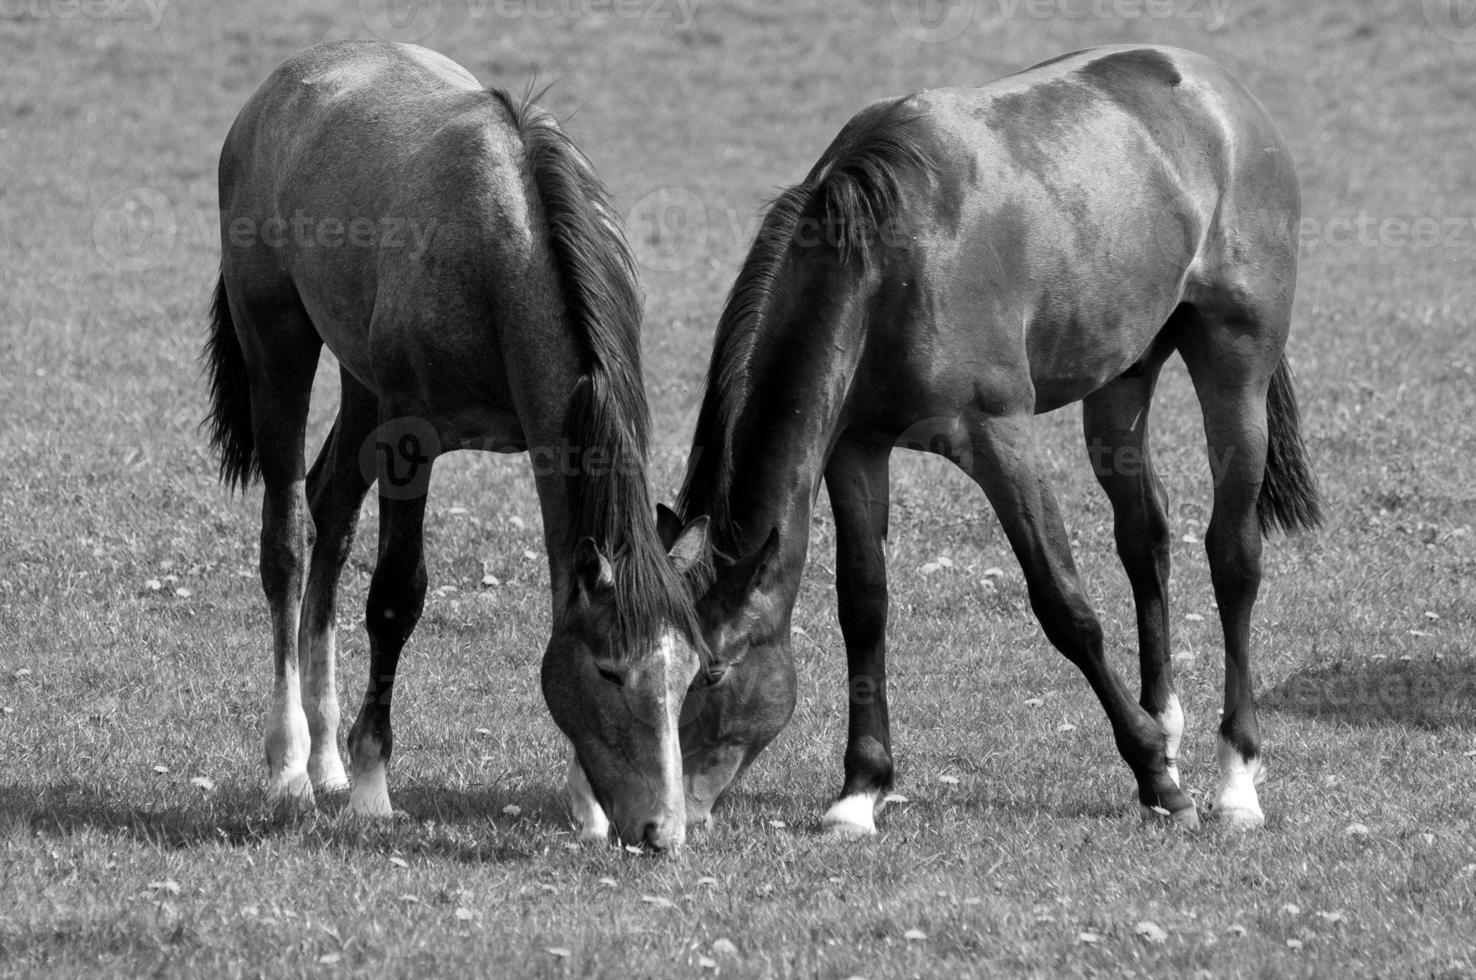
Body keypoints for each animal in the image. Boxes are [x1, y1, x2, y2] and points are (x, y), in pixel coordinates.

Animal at [203, 40, 708, 850]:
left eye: (689, 671)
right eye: (608, 671)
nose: (663, 831)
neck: (504, 246)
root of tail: (278, 89)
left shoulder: (542, 442)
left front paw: (587, 806)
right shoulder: (411, 441)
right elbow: (395, 599)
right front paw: (373, 787)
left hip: (362, 386)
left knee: (330, 511)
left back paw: (325, 758)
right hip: (277, 348)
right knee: (285, 541)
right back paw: (290, 768)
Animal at [664, 42, 1322, 832]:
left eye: (713, 671)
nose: (661, 819)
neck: (887, 256)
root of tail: (1219, 89)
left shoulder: (1000, 441)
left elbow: (1066, 607)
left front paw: (1158, 781)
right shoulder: (855, 450)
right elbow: (863, 605)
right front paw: (859, 790)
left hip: (1236, 370)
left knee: (1234, 557)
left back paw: (1234, 777)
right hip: (1121, 382)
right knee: (1145, 536)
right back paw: (1163, 722)